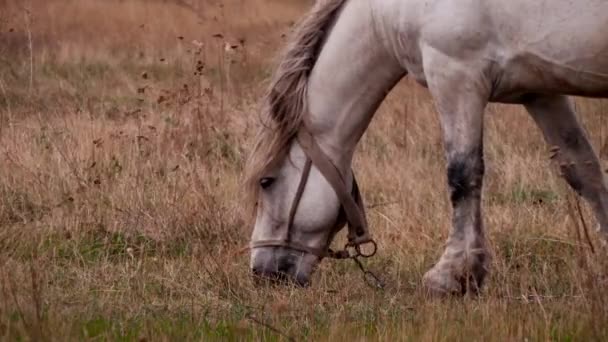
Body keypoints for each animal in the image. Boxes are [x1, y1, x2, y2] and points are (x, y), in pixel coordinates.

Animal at [245, 0, 608, 296]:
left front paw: (452, 277)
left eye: (266, 181)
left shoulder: (454, 75)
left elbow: (462, 174)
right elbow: (583, 171)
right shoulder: (540, 93)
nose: (261, 273)